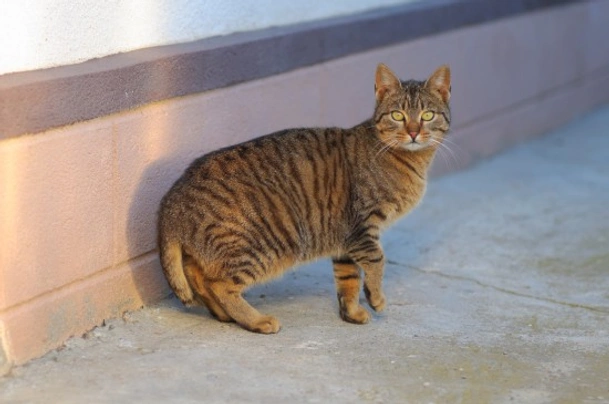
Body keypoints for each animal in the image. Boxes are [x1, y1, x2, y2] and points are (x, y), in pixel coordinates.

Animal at [159, 64, 448, 334]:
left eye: (428, 115)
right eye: (398, 115)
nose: (413, 132)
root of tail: (171, 200)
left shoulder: (345, 240)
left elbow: (348, 279)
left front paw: (351, 312)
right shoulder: (362, 227)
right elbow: (377, 261)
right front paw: (375, 298)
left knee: (199, 278)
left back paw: (223, 314)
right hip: (264, 244)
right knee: (219, 284)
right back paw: (256, 320)